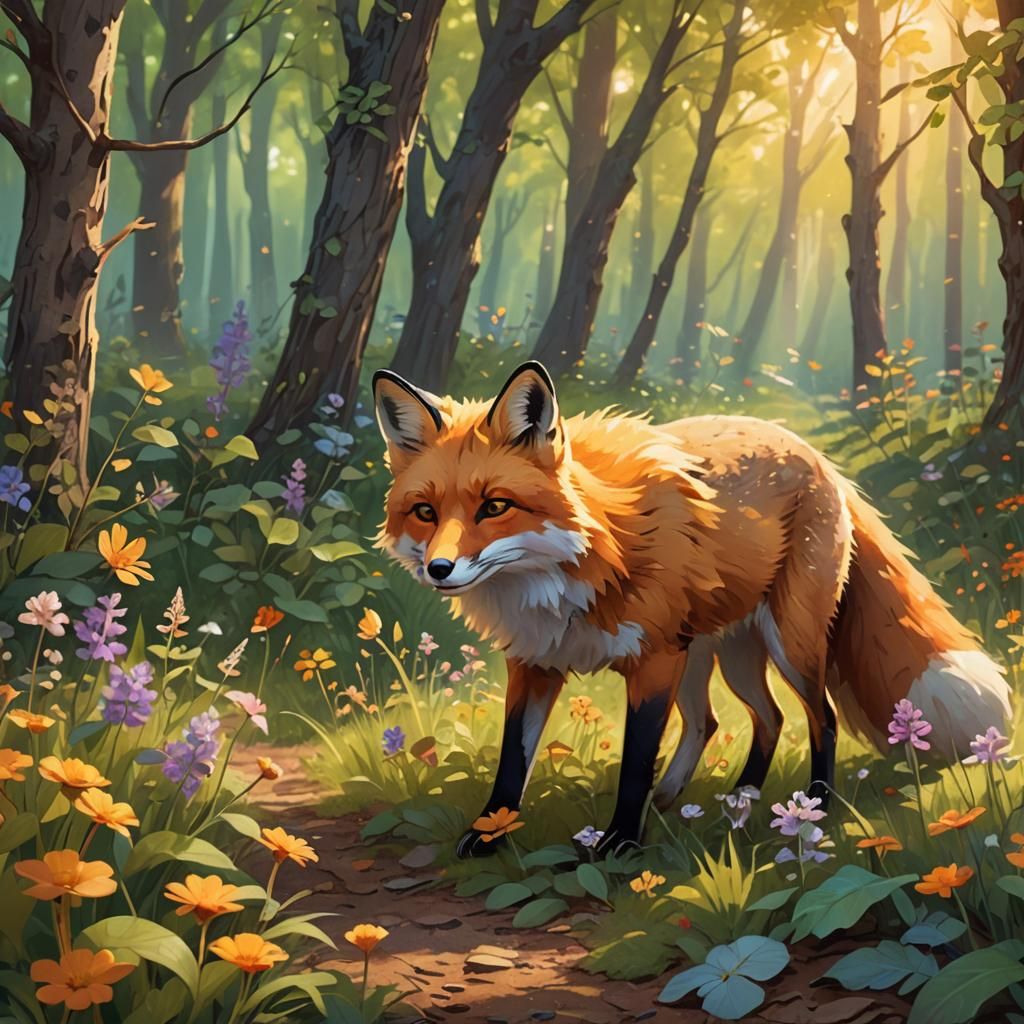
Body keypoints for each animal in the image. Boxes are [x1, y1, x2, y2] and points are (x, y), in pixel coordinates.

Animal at [372, 361, 1012, 857]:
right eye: (425, 513)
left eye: (495, 506)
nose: (439, 569)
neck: (584, 561)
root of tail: (815, 454)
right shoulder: (535, 663)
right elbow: (512, 761)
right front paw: (489, 836)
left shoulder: (652, 660)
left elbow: (635, 762)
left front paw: (620, 845)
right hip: (715, 655)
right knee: (746, 719)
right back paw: (732, 797)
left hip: (785, 645)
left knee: (820, 718)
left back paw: (813, 807)